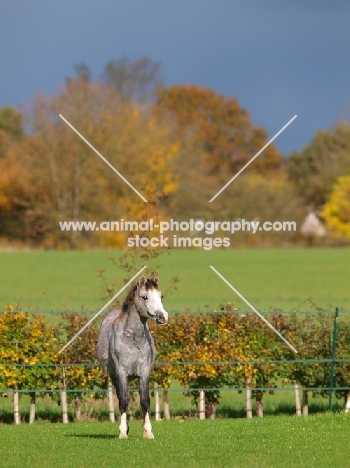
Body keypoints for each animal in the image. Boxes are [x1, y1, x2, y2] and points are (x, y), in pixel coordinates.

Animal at [95, 274, 167, 438]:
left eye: (160, 296)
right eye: (144, 297)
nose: (162, 317)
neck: (133, 338)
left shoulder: (144, 372)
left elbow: (145, 401)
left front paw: (148, 432)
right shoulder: (121, 372)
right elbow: (124, 400)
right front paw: (123, 432)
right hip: (114, 376)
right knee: (120, 397)